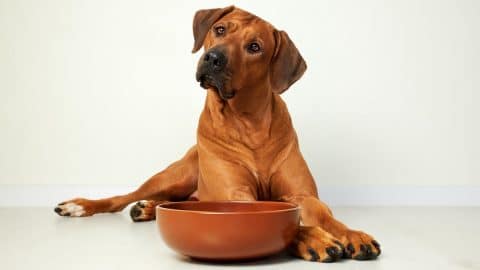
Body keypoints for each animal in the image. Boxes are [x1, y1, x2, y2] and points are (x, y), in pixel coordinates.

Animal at [54, 6, 380, 262]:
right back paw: (85, 205)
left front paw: (353, 235)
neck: (249, 122)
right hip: (176, 174)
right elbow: (291, 223)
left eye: (254, 47)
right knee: (124, 197)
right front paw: (315, 238)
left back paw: (147, 209)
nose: (213, 58)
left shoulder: (302, 194)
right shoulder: (238, 197)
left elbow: (324, 215)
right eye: (220, 30)